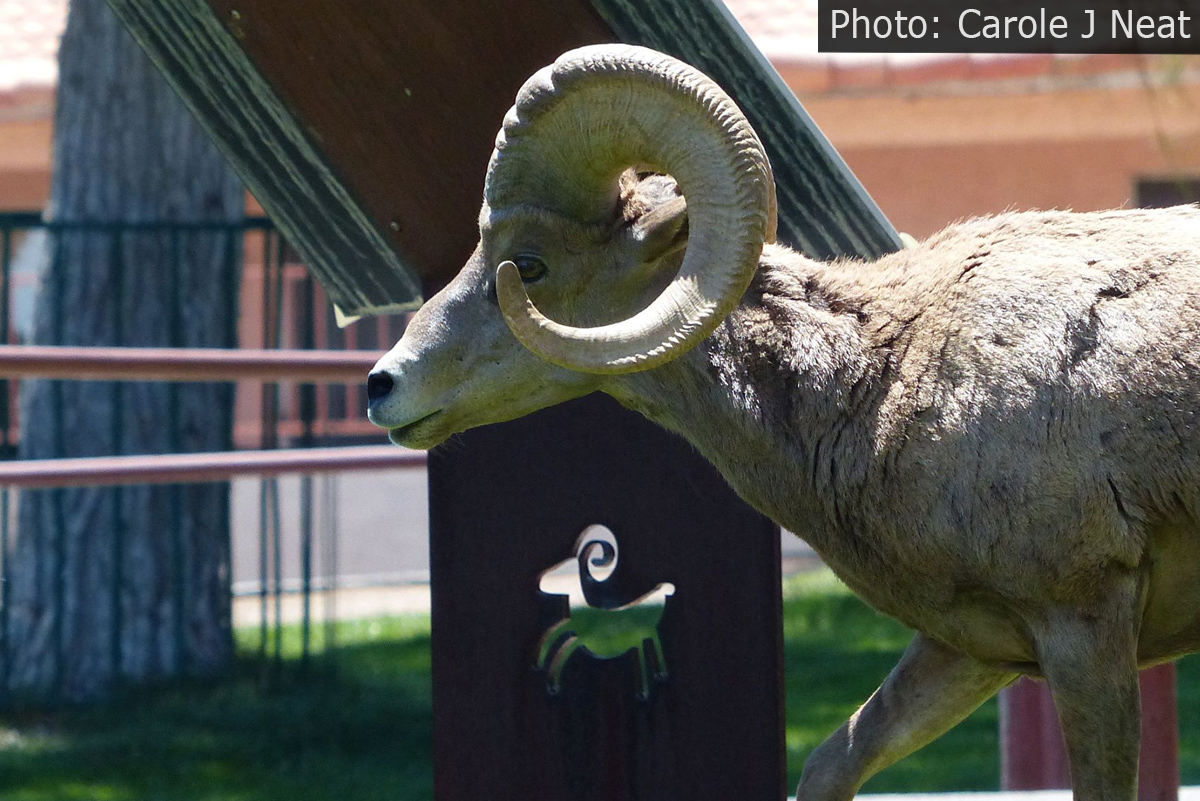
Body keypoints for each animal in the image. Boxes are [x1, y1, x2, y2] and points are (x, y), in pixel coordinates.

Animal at [366, 43, 1200, 800]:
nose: (383, 385)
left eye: (529, 265)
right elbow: (833, 761)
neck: (880, 377)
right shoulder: (973, 646)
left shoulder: (1082, 627)